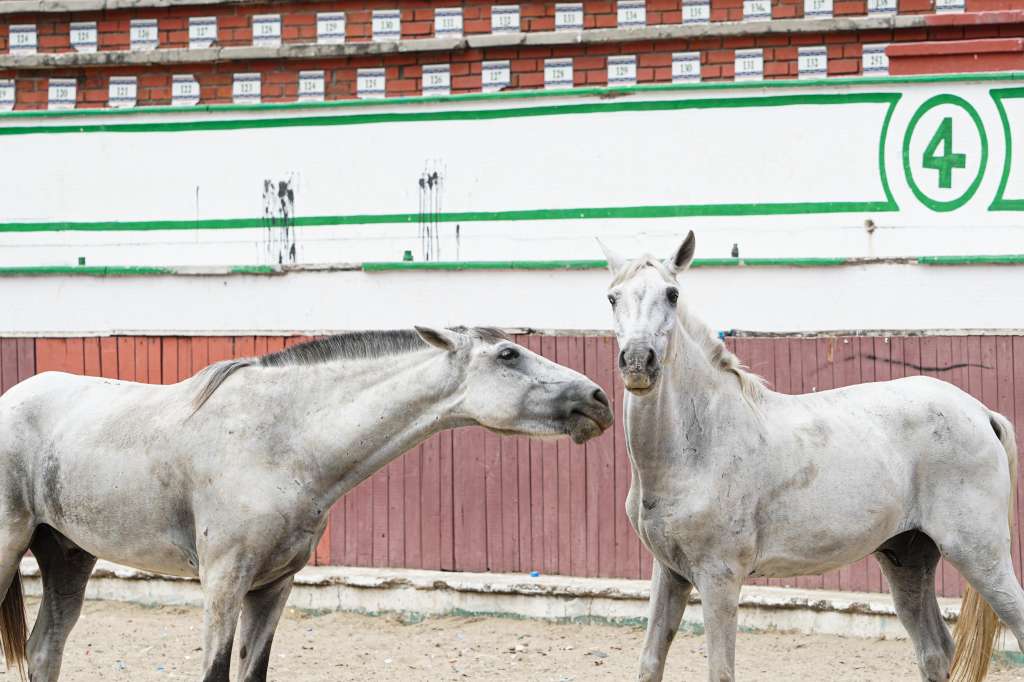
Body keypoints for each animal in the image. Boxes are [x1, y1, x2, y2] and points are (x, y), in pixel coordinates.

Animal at [0, 326, 613, 681]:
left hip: (69, 556)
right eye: (508, 353)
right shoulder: (224, 582)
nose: (599, 398)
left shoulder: (274, 586)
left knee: (45, 651)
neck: (283, 441)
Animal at [598, 232, 1019, 682]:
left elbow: (721, 670)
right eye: (612, 297)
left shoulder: (719, 579)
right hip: (908, 558)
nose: (638, 362)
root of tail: (980, 412)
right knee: (935, 650)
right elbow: (650, 662)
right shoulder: (670, 573)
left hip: (980, 555)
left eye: (672, 294)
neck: (700, 444)